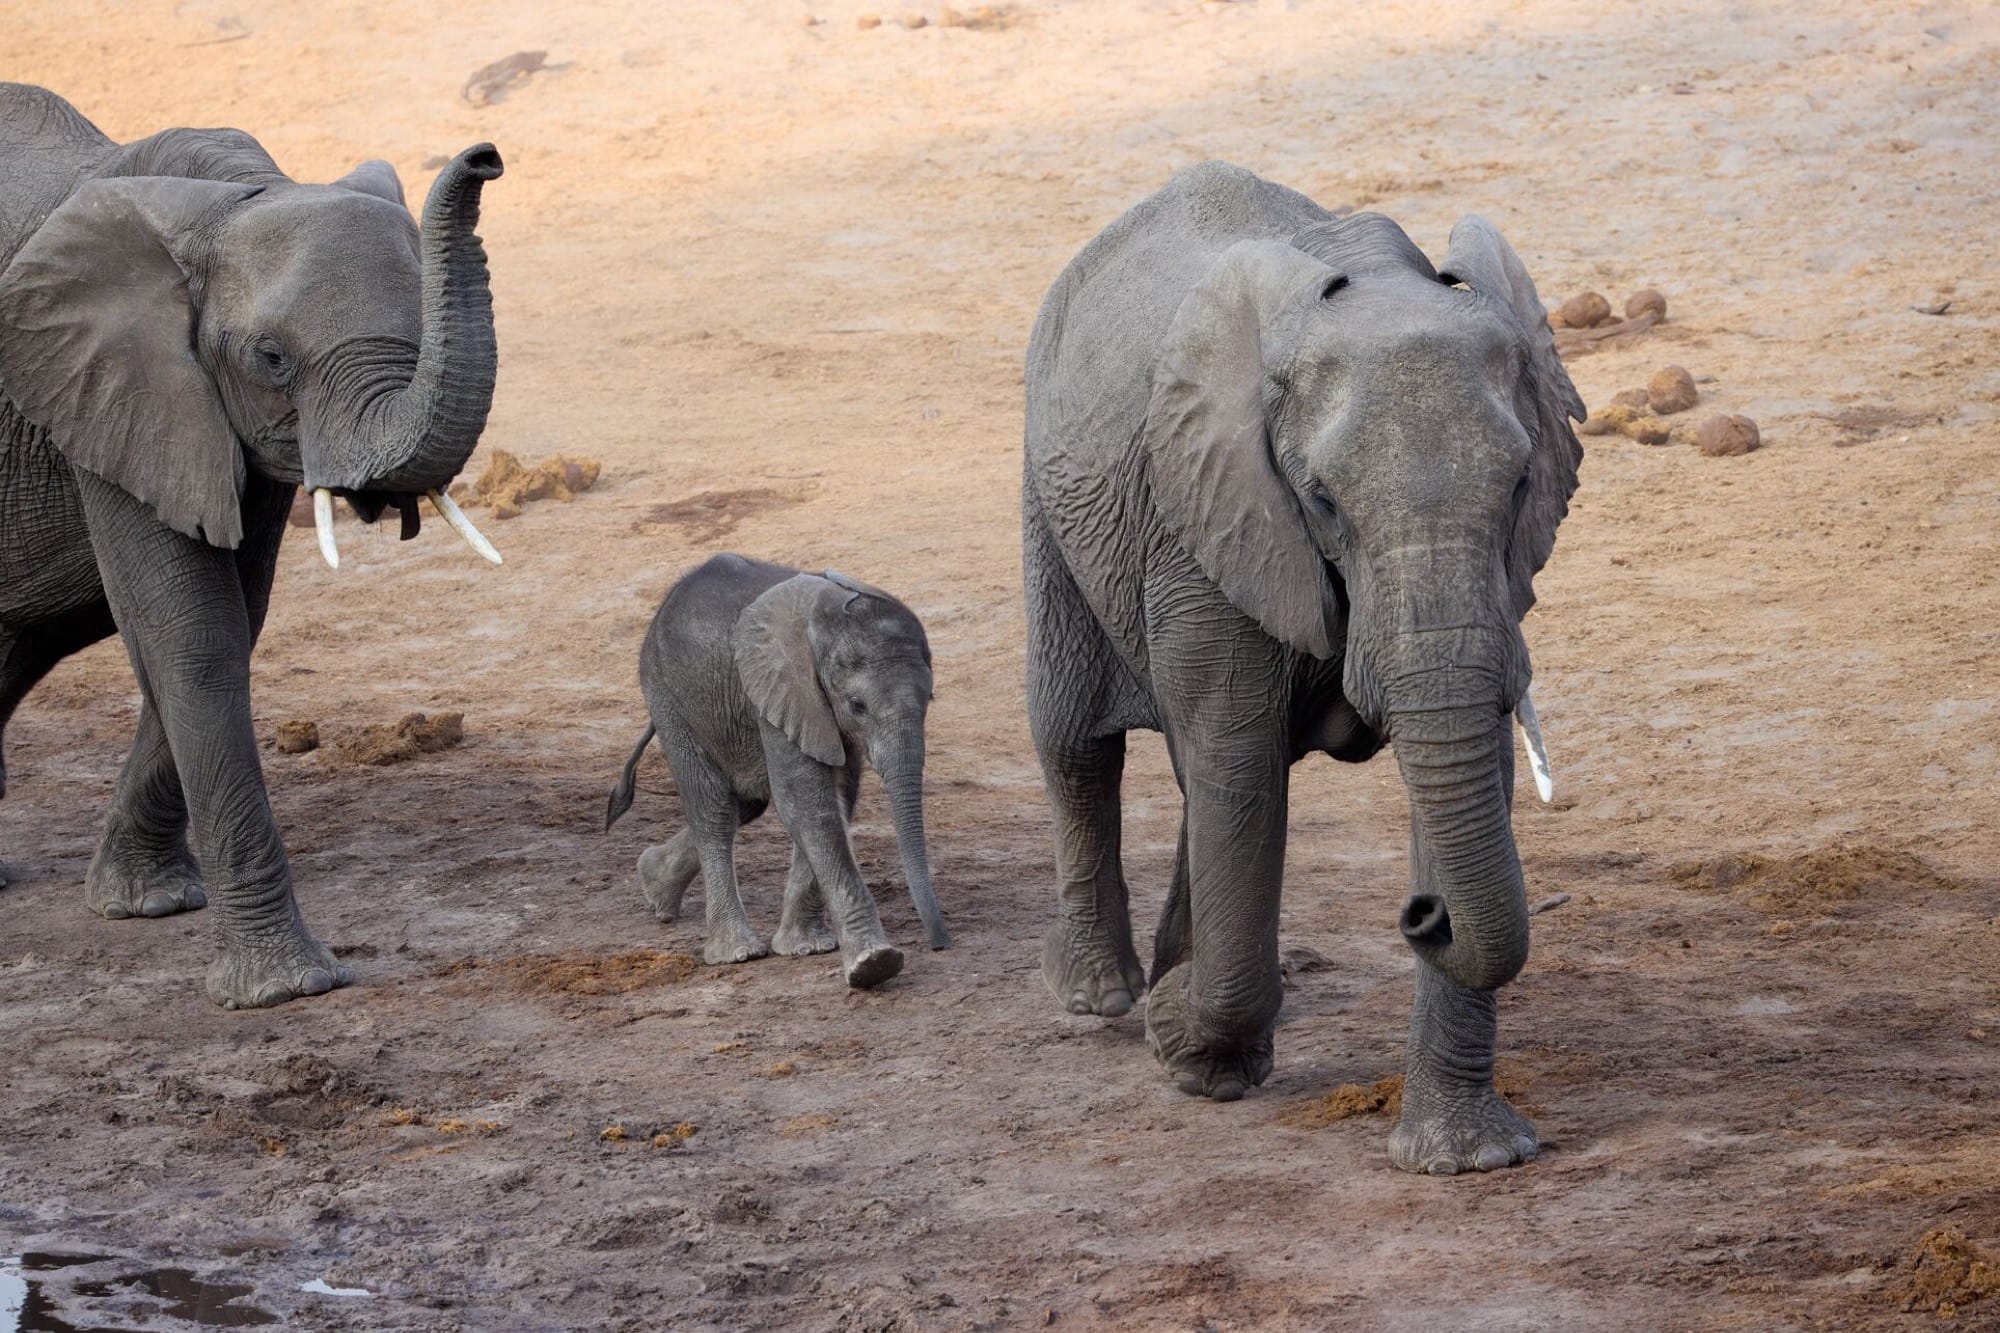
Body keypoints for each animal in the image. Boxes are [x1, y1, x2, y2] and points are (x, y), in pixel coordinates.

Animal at [0, 85, 507, 1007]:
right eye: (271, 357)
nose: (485, 155)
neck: (230, 202)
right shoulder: (113, 386)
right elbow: (189, 631)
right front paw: (284, 990)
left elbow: (238, 616)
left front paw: (145, 902)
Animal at [605, 554, 951, 988]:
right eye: (857, 706)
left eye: (930, 698)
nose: (941, 944)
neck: (825, 621)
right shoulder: (780, 689)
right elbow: (806, 802)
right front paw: (874, 965)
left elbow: (835, 797)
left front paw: (807, 949)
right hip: (668, 695)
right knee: (714, 810)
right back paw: (735, 952)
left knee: (745, 803)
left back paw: (655, 888)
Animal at [1021, 162, 1582, 1174]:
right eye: (1321, 500)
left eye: (1522, 484)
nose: (1423, 913)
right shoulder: (1212, 514)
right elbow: (1237, 761)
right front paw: (1187, 1049)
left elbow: (1459, 758)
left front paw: (1468, 1161)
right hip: (1046, 488)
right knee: (1078, 740)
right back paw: (1103, 995)